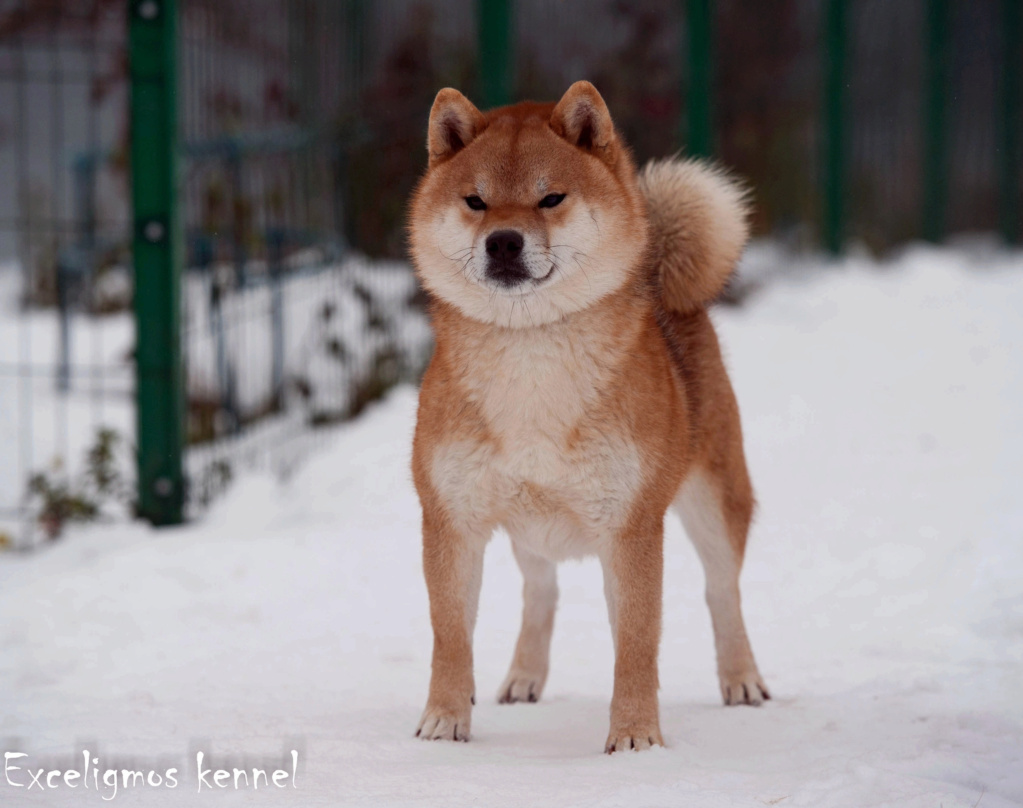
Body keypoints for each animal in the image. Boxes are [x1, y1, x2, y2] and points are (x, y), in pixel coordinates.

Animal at [407, 82, 769, 752]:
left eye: (551, 198)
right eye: (476, 201)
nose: (503, 241)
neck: (531, 361)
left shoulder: (630, 527)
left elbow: (637, 644)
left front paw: (635, 736)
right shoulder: (452, 519)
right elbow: (450, 636)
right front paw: (445, 719)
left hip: (713, 499)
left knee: (722, 591)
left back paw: (742, 679)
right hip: (527, 527)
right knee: (540, 589)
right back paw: (523, 677)